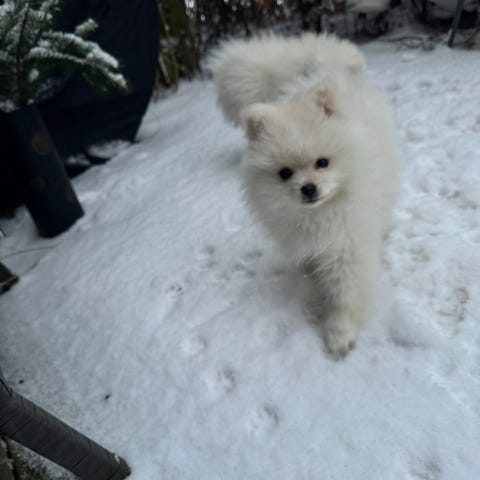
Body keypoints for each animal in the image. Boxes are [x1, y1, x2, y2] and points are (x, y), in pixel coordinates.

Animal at [208, 33, 400, 357]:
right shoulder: (306, 245)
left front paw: (339, 335)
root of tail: (323, 67)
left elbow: (346, 293)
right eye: (285, 173)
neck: (320, 215)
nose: (308, 188)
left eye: (323, 162)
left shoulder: (347, 248)